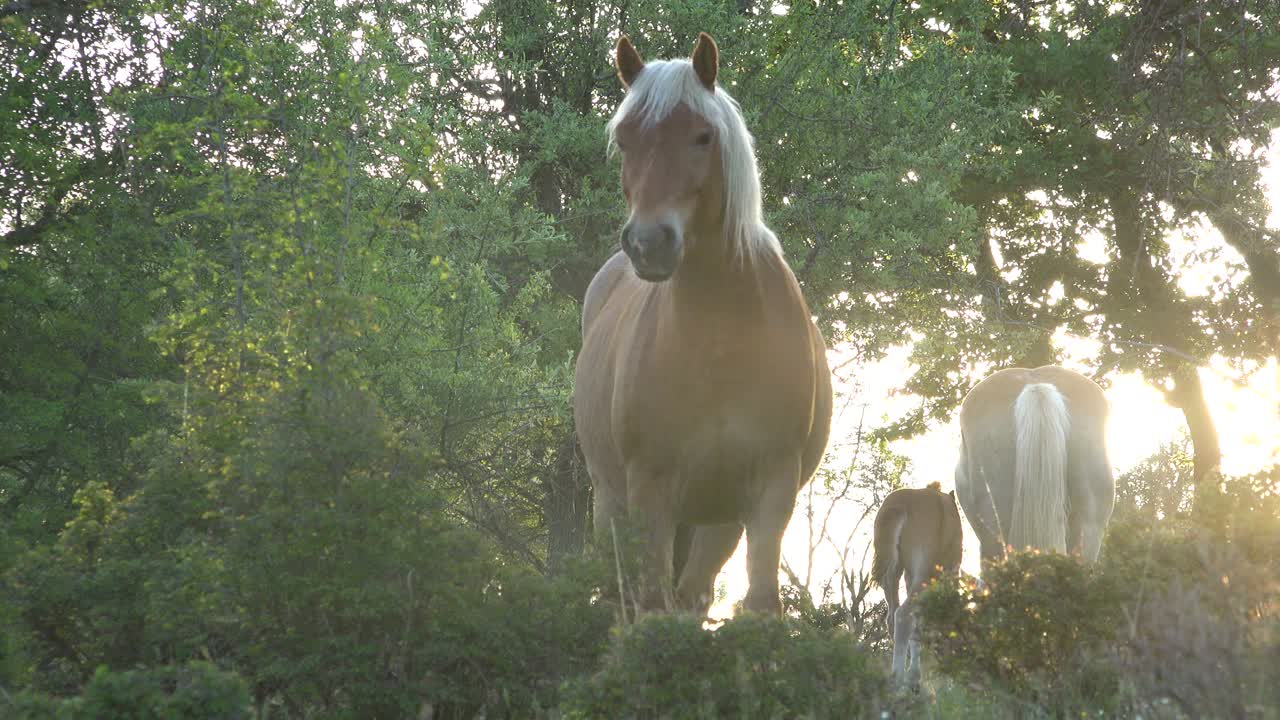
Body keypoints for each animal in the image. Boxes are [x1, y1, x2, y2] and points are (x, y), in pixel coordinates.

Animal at [573, 32, 833, 616]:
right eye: (624, 139)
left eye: (702, 136)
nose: (649, 243)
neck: (721, 342)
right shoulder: (649, 488)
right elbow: (652, 605)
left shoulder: (770, 489)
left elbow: (760, 602)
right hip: (611, 496)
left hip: (718, 520)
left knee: (693, 593)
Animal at [872, 482, 963, 687]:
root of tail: (901, 504)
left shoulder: (910, 576)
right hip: (924, 573)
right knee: (903, 615)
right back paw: (897, 679)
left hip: (892, 573)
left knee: (893, 615)